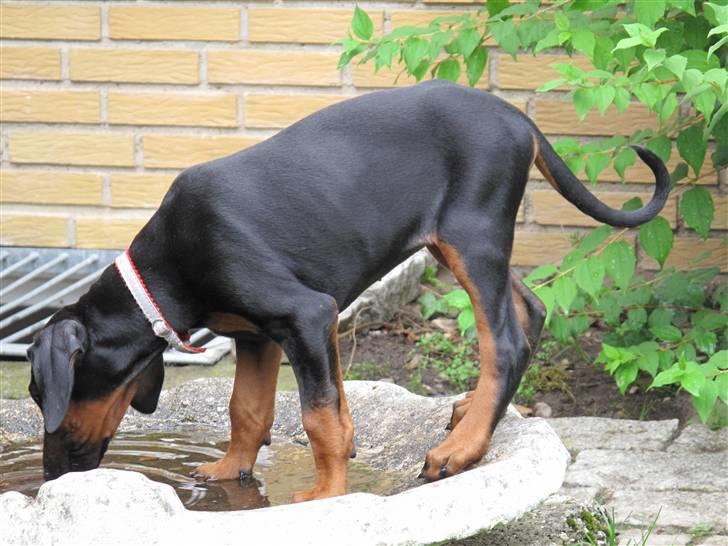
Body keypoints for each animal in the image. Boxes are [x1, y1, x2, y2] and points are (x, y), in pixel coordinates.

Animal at [27, 78, 664, 500]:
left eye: (39, 394)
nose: (51, 477)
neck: (166, 271)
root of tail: (517, 118)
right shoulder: (261, 334)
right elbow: (249, 409)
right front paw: (231, 469)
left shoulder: (306, 315)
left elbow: (318, 418)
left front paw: (327, 495)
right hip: (456, 240)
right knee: (528, 310)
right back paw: (472, 411)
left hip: (473, 234)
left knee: (504, 342)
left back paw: (461, 449)